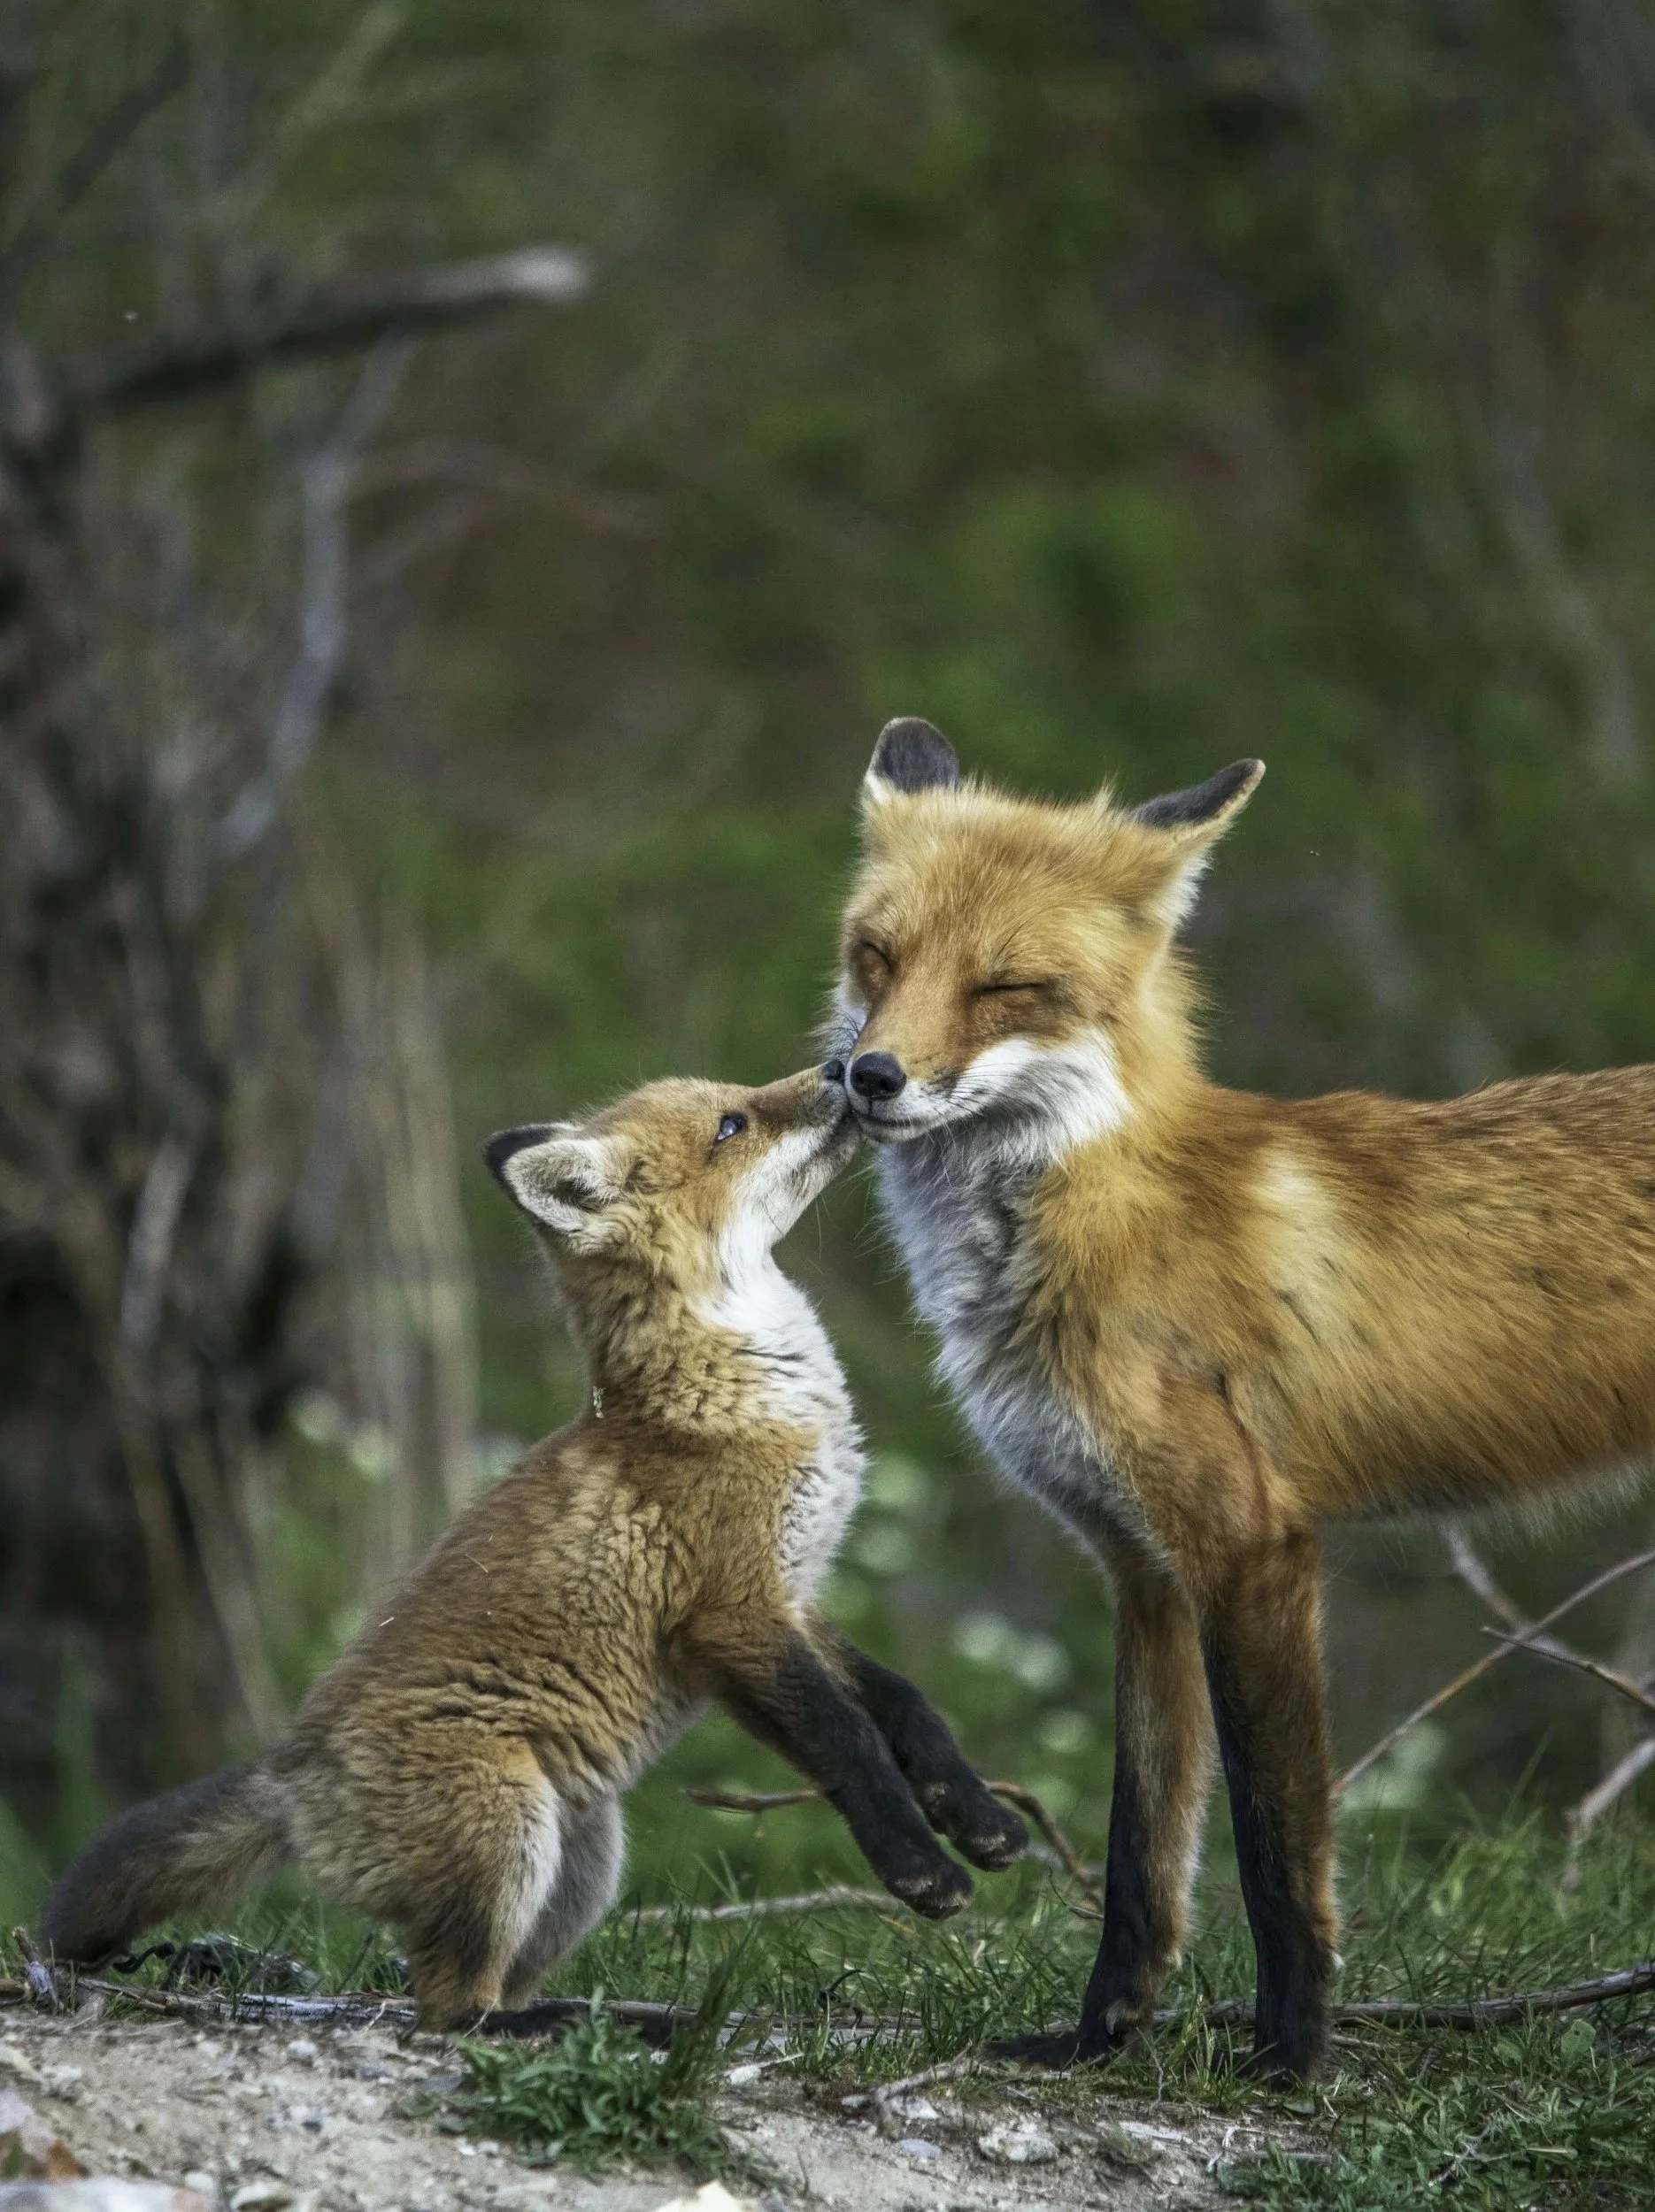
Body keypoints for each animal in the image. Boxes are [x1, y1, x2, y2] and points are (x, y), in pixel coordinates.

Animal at [41, 1064, 1027, 2027]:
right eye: (732, 1125)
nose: (845, 1068)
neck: (733, 1397)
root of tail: (291, 1777)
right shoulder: (729, 1619)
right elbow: (849, 1740)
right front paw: (920, 1869)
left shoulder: (794, 1593)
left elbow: (904, 1704)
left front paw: (978, 1816)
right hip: (510, 1823)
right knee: (449, 2011)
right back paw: (579, 2027)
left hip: (585, 1856)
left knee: (487, 1986)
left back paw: (619, 2019)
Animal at [827, 715, 1655, 2081]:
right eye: (877, 956)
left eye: (1005, 986)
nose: (867, 1075)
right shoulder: (1139, 1567)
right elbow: (1142, 1851)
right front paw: (1096, 2041)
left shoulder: (1251, 1544)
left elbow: (1276, 1846)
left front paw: (1290, 2057)